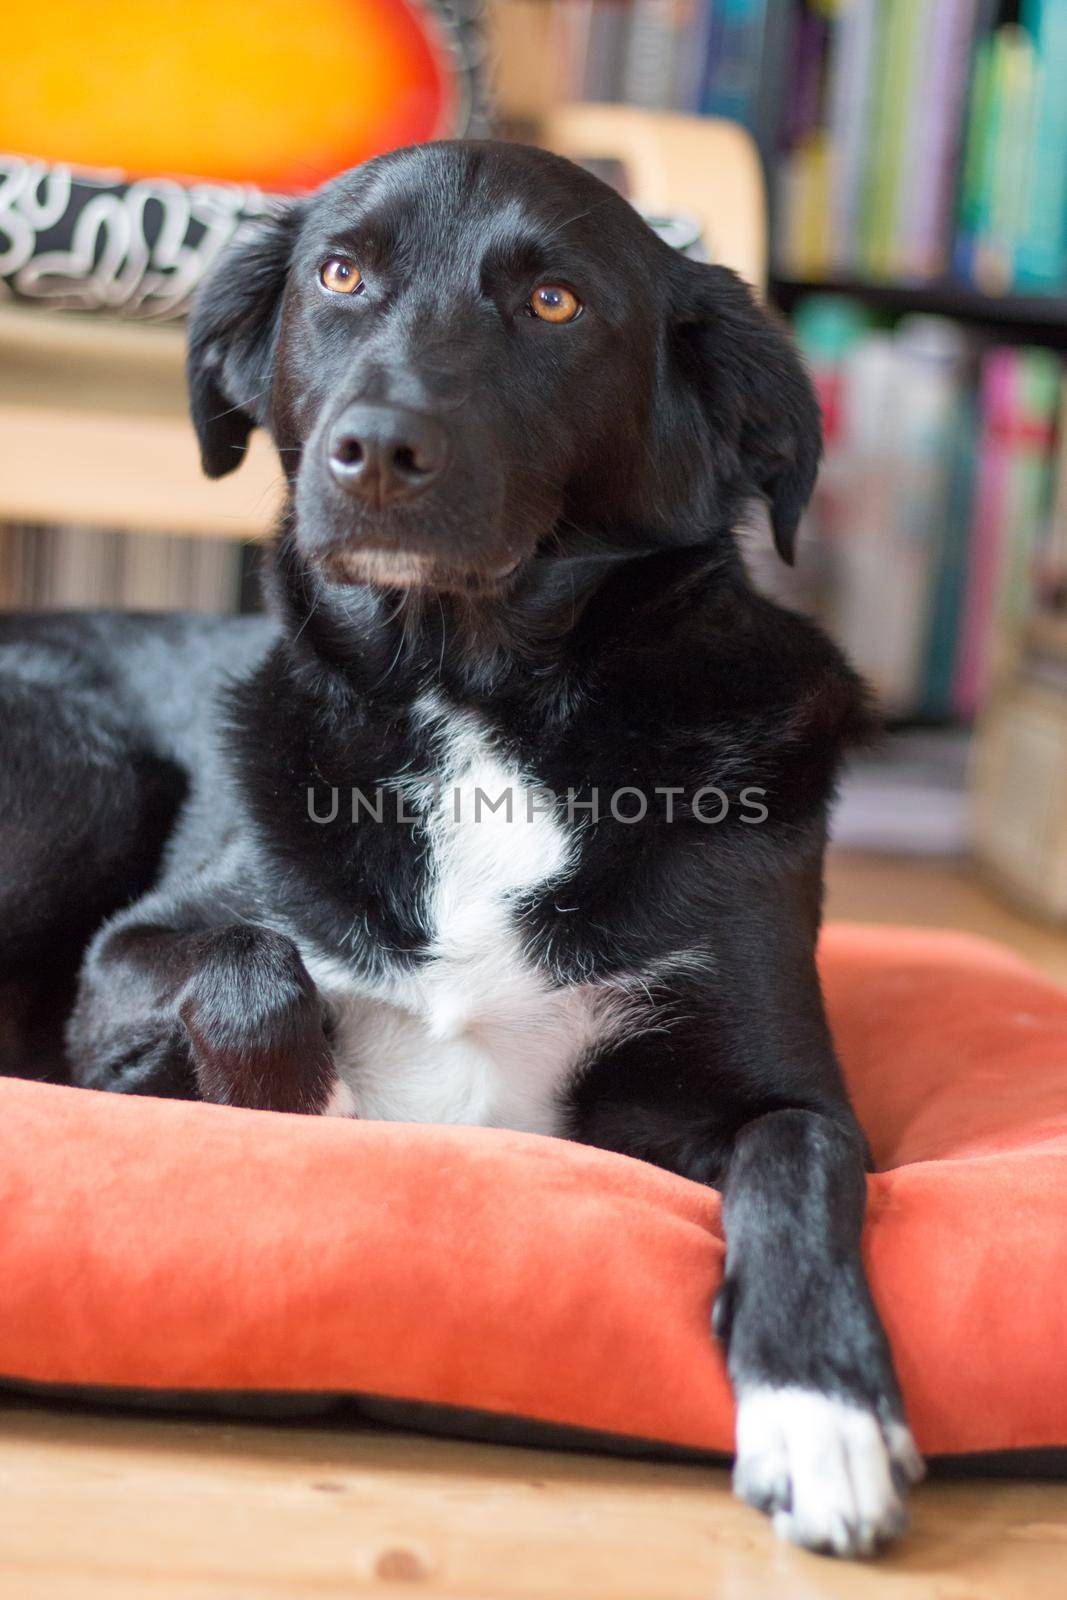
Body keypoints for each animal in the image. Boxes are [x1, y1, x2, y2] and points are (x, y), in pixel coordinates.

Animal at [0, 140, 921, 1548]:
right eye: (338, 275)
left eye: (553, 302)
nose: (375, 449)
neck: (479, 698)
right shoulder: (126, 962)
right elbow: (251, 966)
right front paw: (296, 1104)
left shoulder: (782, 1090)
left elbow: (798, 1162)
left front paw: (821, 1409)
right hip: (81, 772)